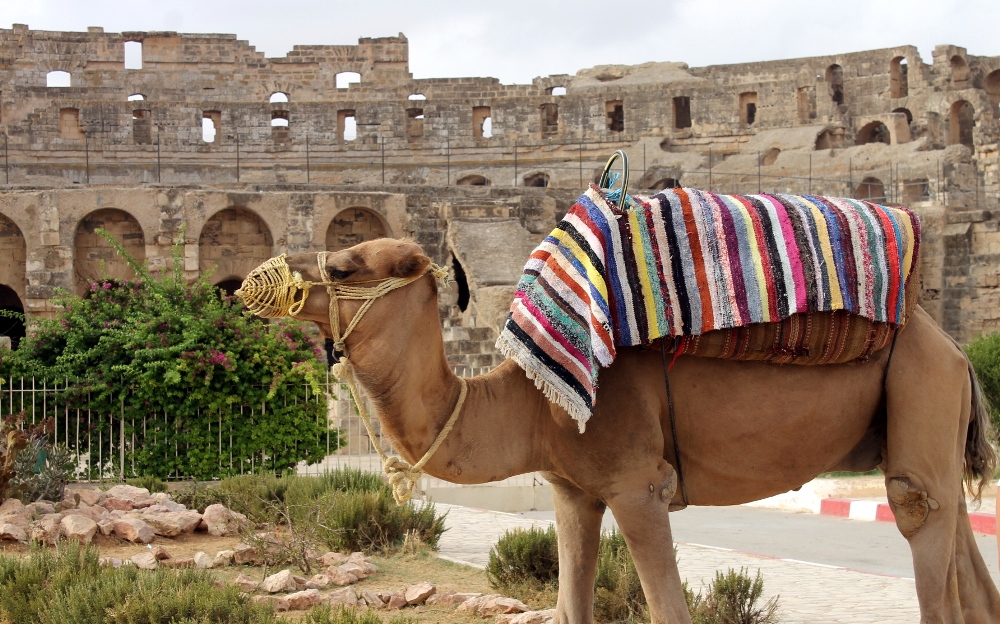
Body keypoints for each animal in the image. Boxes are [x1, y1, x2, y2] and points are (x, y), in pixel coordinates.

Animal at [242, 238, 1000, 624]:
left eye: (342, 265)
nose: (247, 284)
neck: (529, 399)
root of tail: (956, 352)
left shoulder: (640, 486)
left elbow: (667, 611)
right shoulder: (573, 489)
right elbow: (570, 608)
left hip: (918, 385)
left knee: (917, 522)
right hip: (925, 422)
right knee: (959, 545)